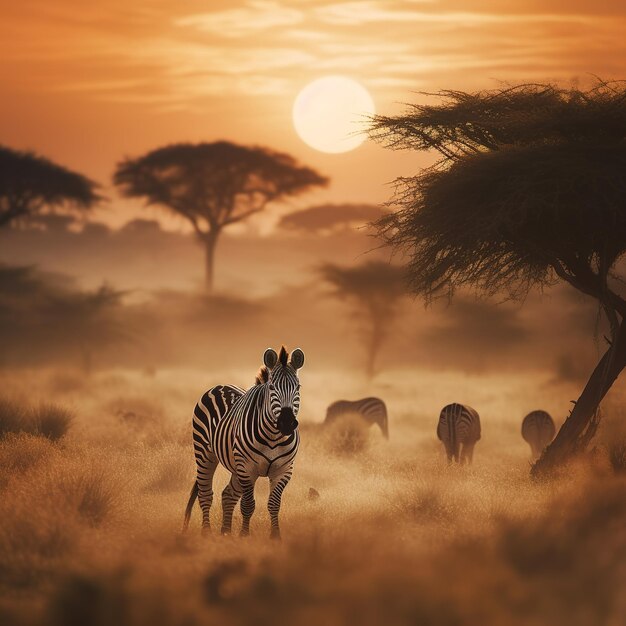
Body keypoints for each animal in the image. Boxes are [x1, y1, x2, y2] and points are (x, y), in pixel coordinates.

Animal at [182, 344, 304, 540]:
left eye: (298, 387)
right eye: (271, 387)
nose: (286, 423)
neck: (273, 436)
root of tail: (221, 385)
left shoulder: (283, 470)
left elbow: (274, 504)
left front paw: (275, 537)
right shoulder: (247, 469)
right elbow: (248, 505)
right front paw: (244, 536)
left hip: (235, 466)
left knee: (228, 495)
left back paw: (225, 532)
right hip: (205, 454)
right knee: (206, 494)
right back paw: (207, 532)